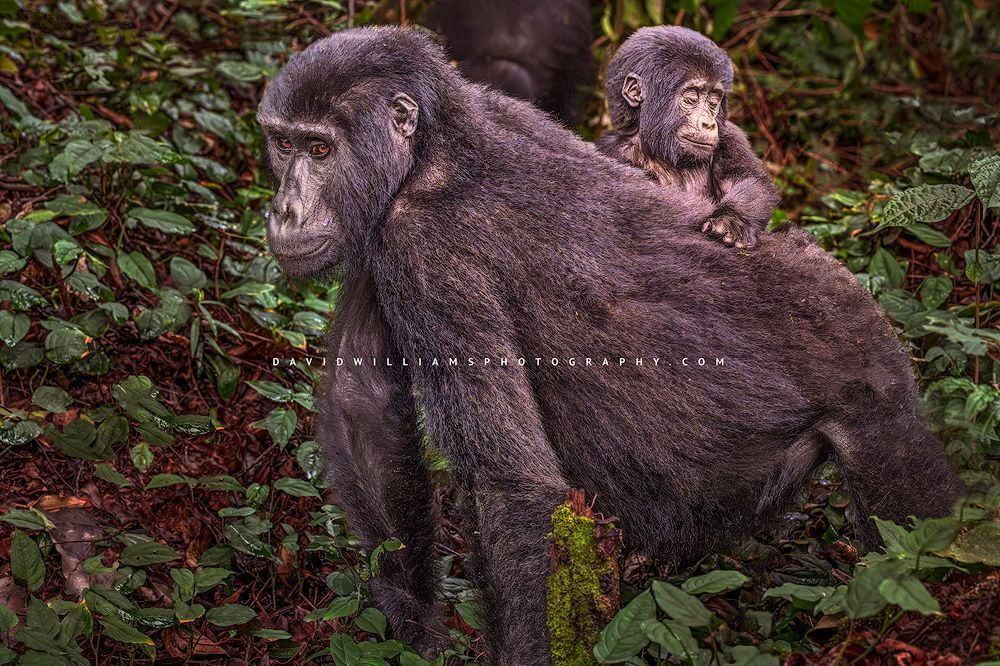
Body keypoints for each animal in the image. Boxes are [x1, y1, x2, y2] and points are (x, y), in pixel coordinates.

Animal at [596, 26, 780, 248]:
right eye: (692, 97)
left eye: (713, 100)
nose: (708, 123)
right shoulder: (611, 151)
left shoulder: (730, 136)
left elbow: (749, 178)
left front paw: (733, 219)